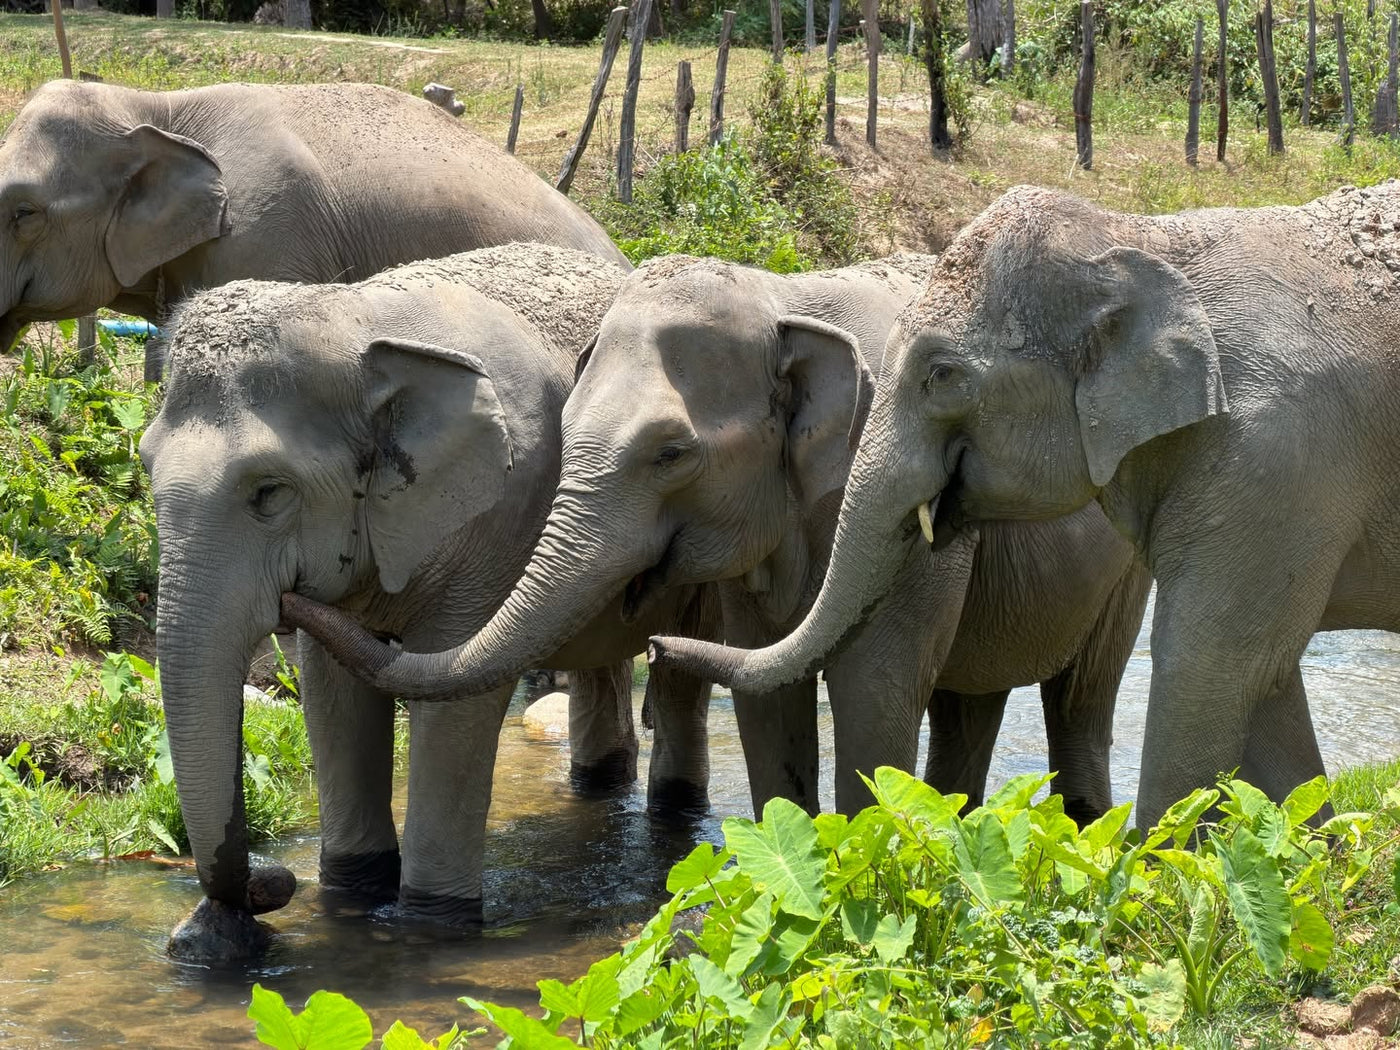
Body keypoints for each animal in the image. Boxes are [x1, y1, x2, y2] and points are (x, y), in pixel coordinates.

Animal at [139, 243, 710, 964]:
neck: (357, 320)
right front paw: (351, 894)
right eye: (145, 469)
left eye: (269, 493)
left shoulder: (502, 515)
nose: (268, 886)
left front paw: (428, 924)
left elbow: (456, 699)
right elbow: (334, 693)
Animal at [280, 254, 1151, 821]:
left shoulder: (913, 501)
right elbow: (765, 689)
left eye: (670, 454)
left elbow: (875, 688)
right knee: (972, 701)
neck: (785, 298)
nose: (290, 602)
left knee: (1081, 698)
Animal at [647, 181, 1400, 830]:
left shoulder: (1277, 455)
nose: (655, 644)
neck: (1147, 238)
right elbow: (1268, 677)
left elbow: (1215, 661)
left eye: (942, 376)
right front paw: (1317, 852)